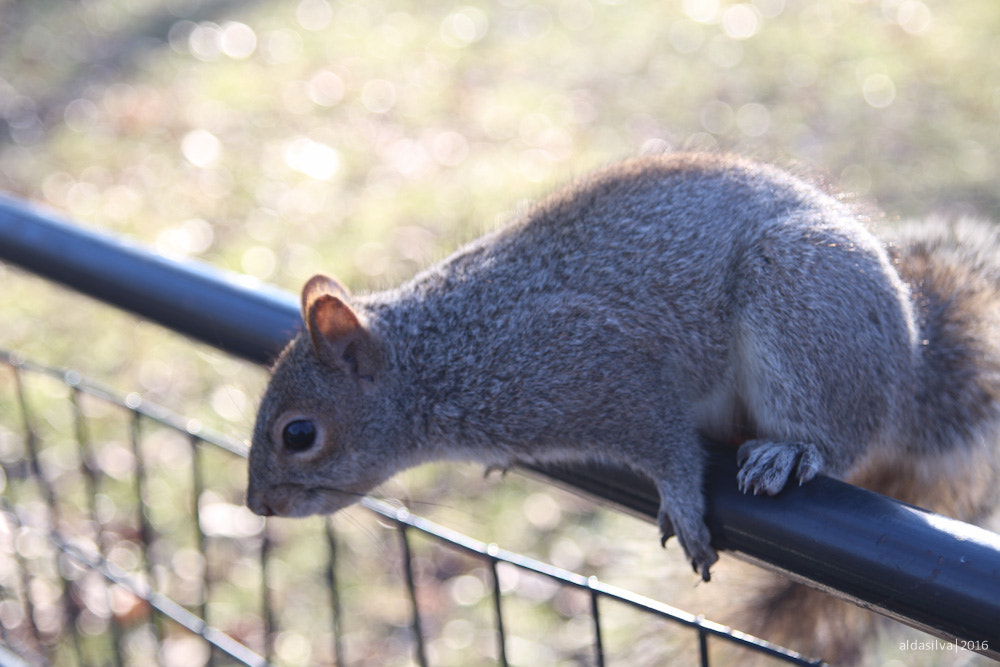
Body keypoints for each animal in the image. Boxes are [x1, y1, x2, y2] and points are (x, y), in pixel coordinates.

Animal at [247, 151, 1000, 592]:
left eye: (298, 434)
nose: (259, 505)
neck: (443, 358)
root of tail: (909, 365)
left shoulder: (595, 367)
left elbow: (665, 441)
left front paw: (683, 501)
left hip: (801, 307)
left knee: (840, 439)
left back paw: (790, 449)